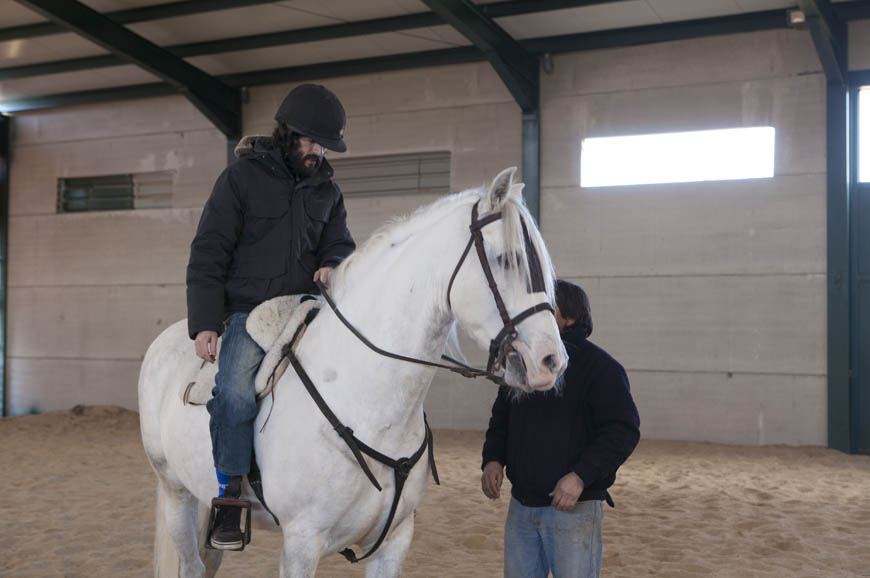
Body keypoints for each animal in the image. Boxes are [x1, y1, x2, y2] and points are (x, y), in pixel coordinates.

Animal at [137, 166, 568, 577]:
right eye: (507, 259)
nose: (552, 361)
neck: (366, 400)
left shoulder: (395, 541)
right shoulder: (301, 543)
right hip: (175, 491)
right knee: (192, 565)